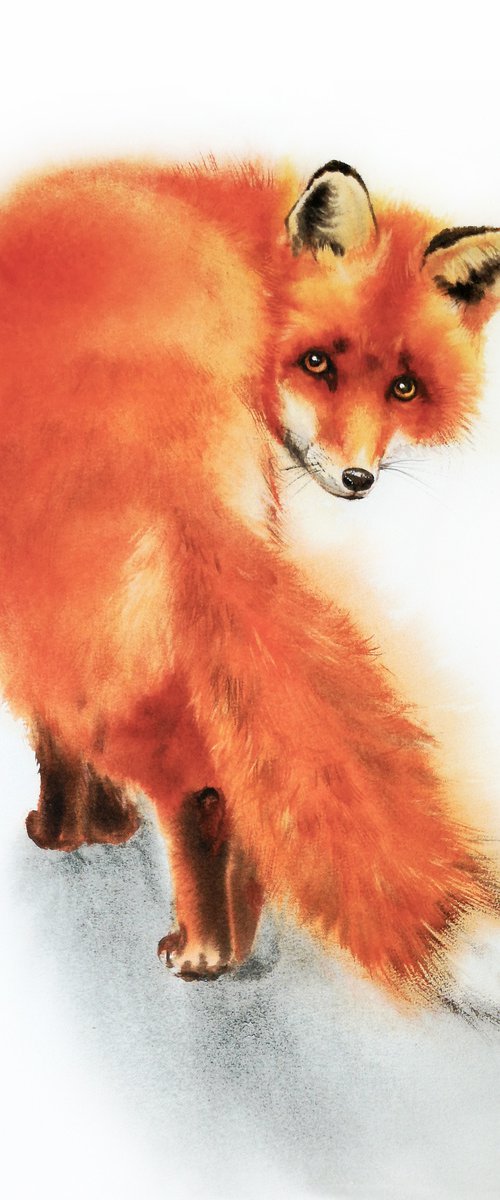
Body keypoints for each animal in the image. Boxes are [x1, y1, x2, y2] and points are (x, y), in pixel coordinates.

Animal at [0, 156, 499, 998]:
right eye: (318, 363)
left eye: (404, 387)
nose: (357, 478)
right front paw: (105, 826)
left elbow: (54, 730)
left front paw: (71, 829)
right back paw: (232, 934)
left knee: (186, 779)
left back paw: (201, 949)